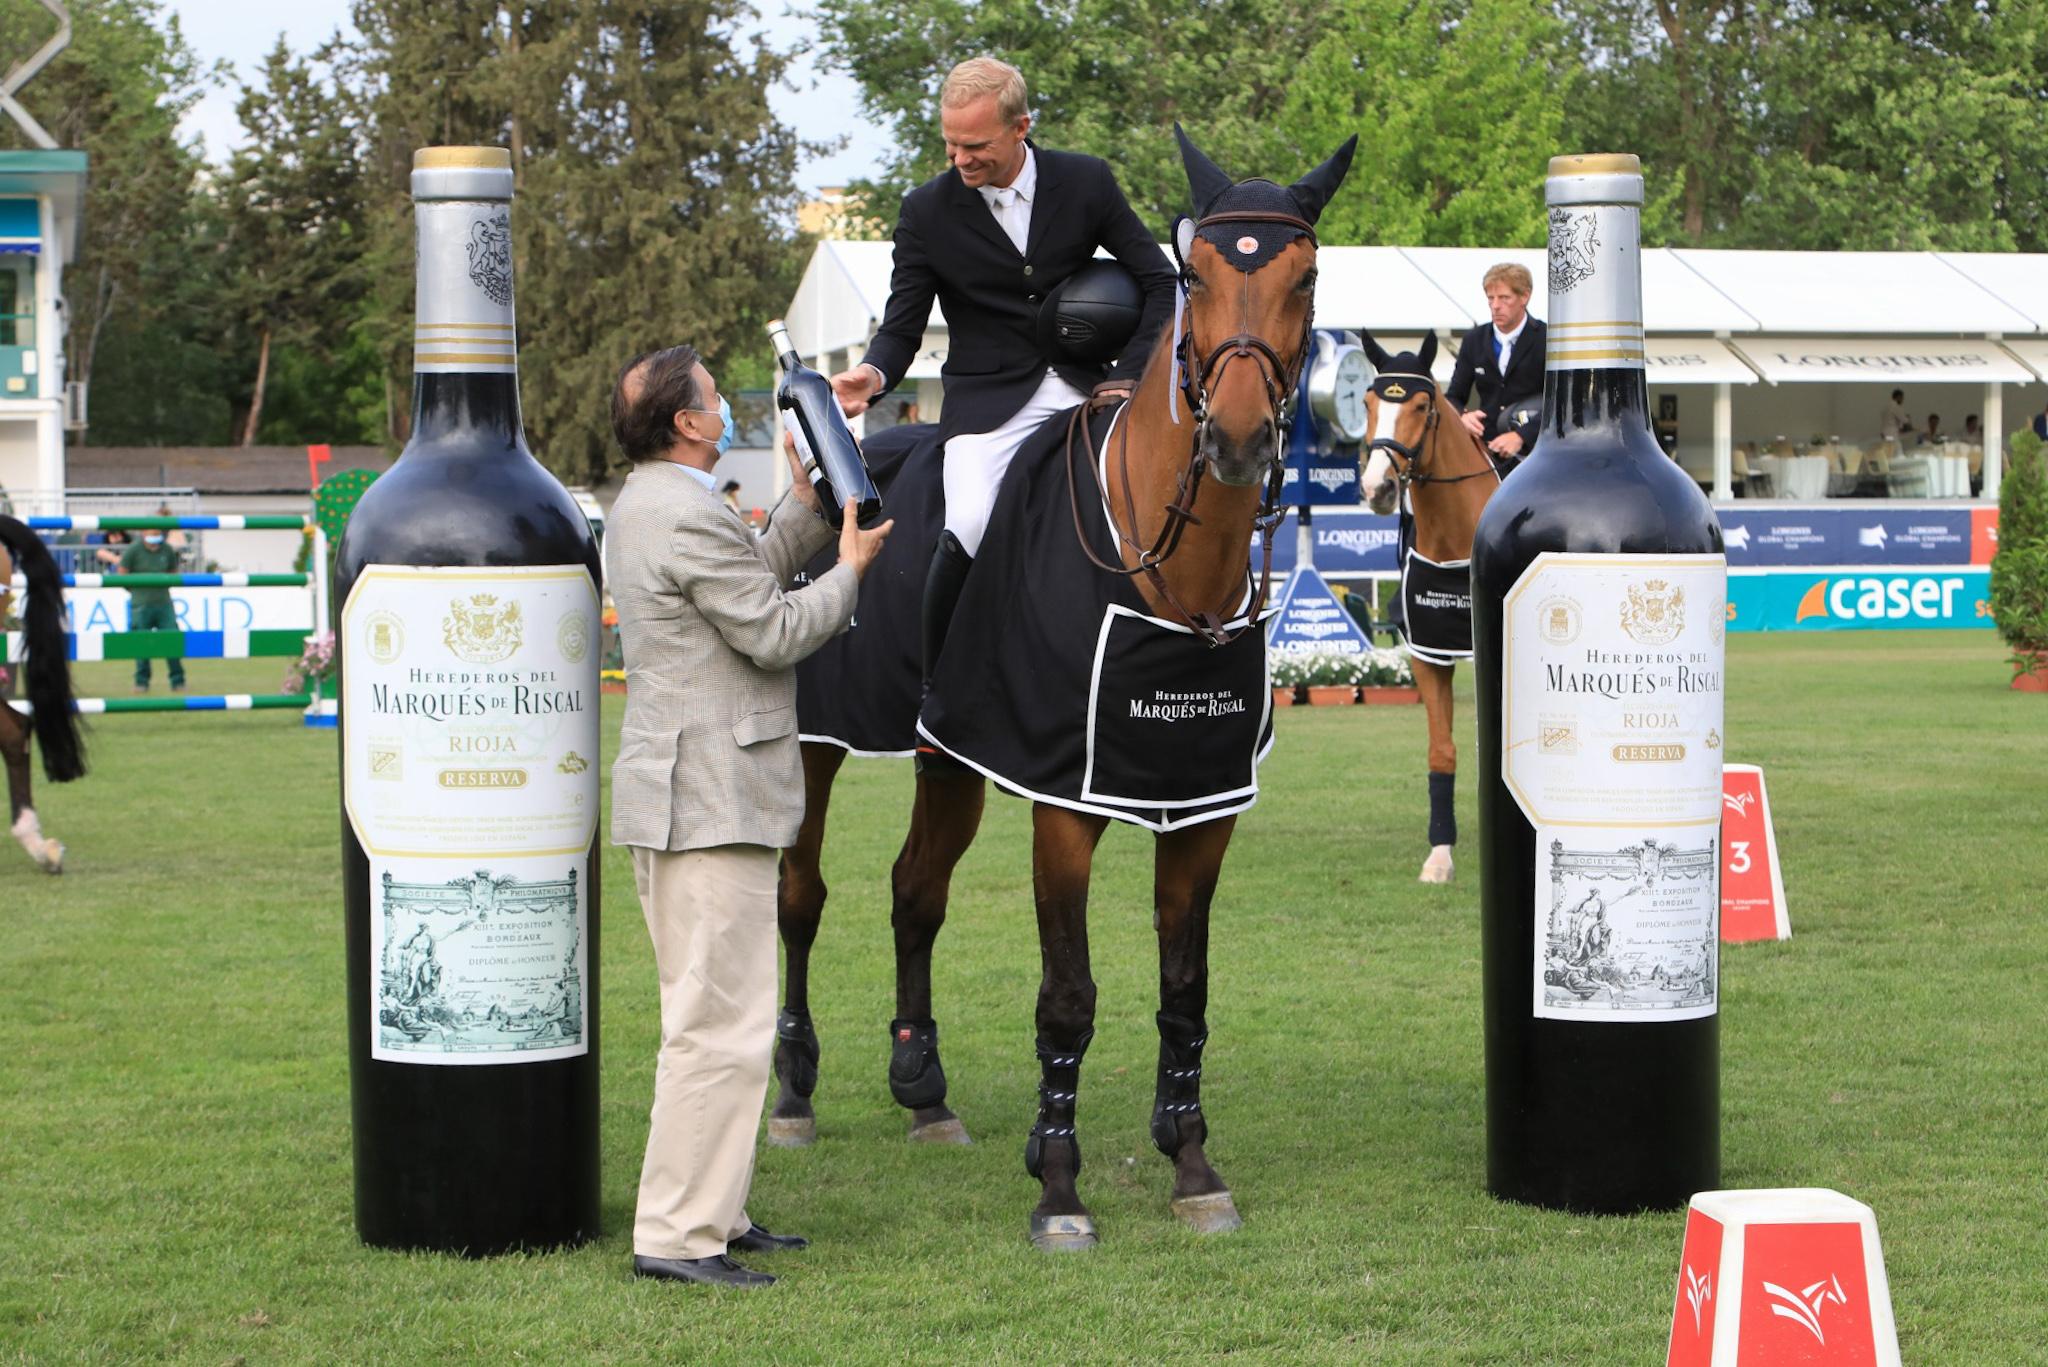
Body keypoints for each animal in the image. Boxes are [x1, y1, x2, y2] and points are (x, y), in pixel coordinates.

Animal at [774, 128, 1351, 1254]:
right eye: (1195, 273)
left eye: (1303, 277)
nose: (1239, 439)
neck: (1170, 577)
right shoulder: (1061, 805)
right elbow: (1068, 997)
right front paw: (1058, 1184)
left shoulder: (1200, 804)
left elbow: (1185, 988)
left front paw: (1191, 1162)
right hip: (811, 747)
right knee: (799, 893)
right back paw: (793, 1088)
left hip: (947, 757)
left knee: (915, 886)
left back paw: (923, 1085)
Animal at [1359, 336, 1507, 881]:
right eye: (1368, 403)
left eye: (1422, 406)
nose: (1378, 488)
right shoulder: (1428, 653)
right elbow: (1441, 751)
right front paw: (1440, 854)